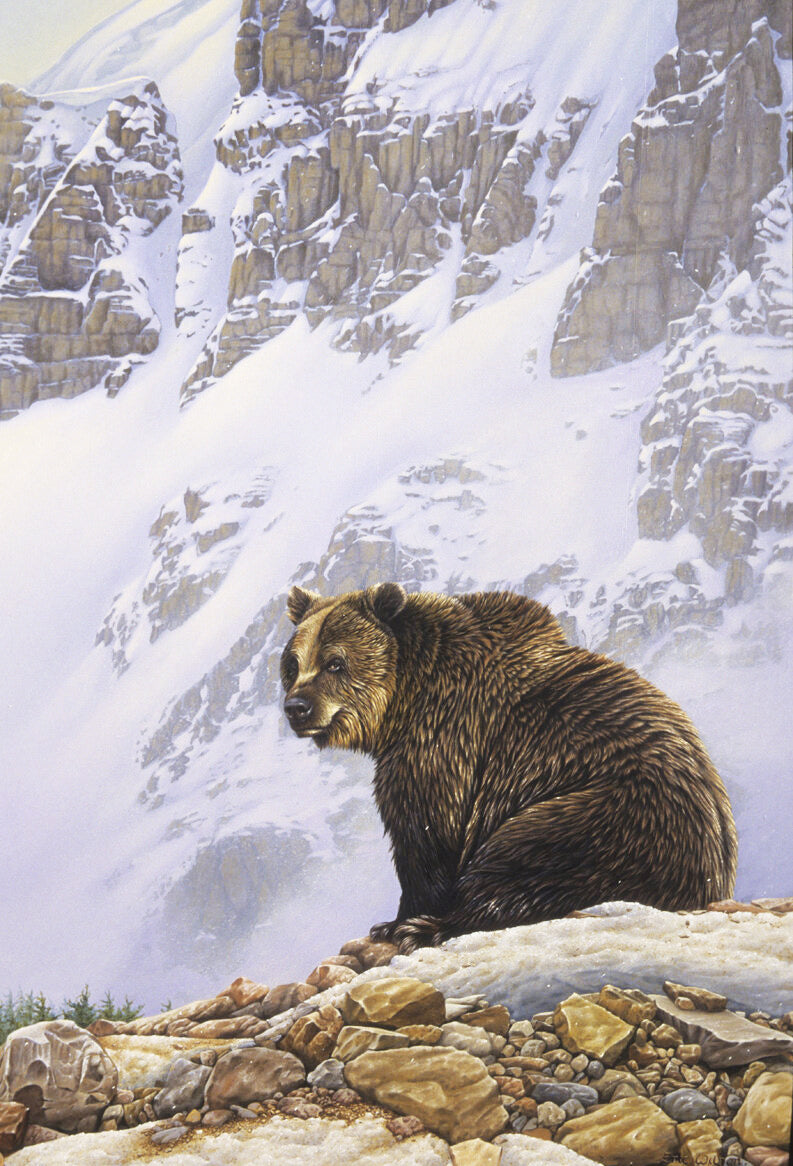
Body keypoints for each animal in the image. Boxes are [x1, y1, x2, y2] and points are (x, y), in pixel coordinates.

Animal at [281, 582, 738, 953]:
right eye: (293, 663)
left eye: (335, 662)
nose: (296, 708)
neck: (408, 697)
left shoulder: (445, 742)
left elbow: (427, 835)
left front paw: (398, 923)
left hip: (608, 818)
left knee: (522, 863)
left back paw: (434, 926)